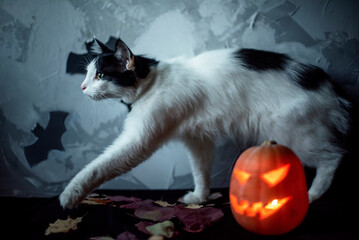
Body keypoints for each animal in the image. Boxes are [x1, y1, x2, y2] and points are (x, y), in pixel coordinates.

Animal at [59, 37, 352, 208]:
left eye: (100, 75)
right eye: (87, 73)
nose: (82, 87)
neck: (152, 81)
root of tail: (331, 87)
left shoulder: (138, 141)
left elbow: (98, 167)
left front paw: (70, 195)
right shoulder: (197, 138)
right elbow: (201, 170)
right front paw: (200, 197)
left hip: (296, 135)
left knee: (333, 157)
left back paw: (312, 194)